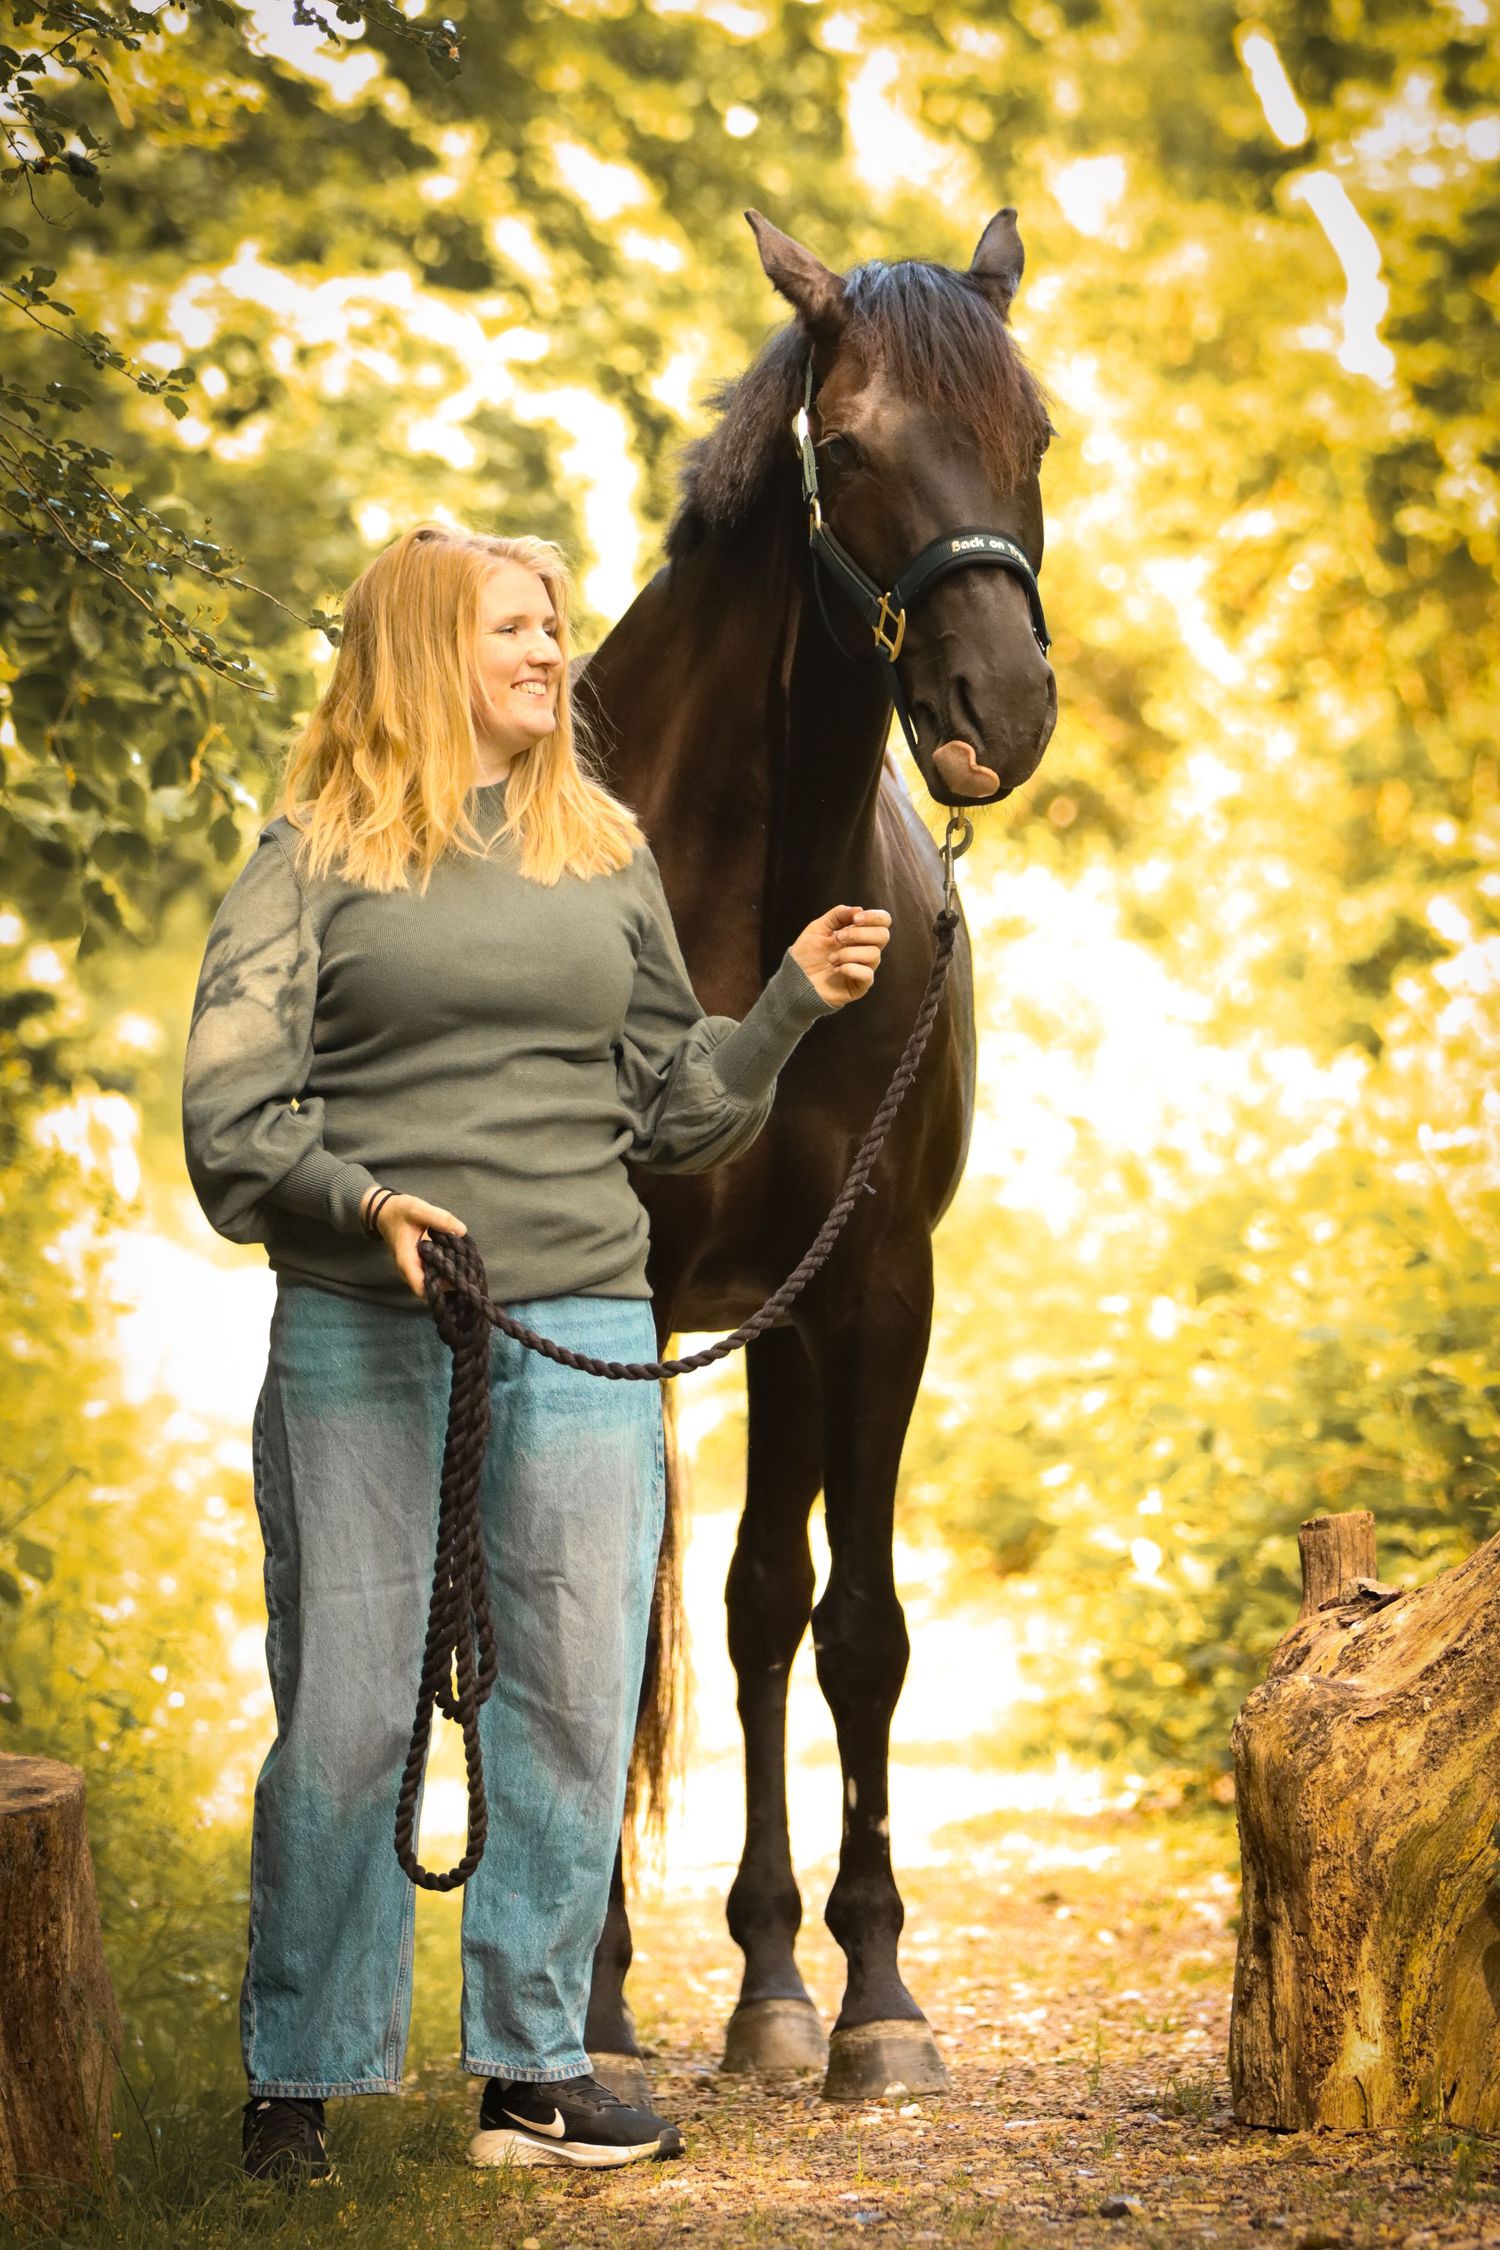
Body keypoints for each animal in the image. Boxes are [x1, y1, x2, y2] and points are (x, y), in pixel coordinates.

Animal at [575, 207, 1056, 2104]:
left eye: (1036, 434)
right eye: (844, 449)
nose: (1003, 701)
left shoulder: (866, 1283)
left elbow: (850, 1625)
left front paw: (868, 2004)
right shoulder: (619, 1293)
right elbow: (600, 1625)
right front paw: (596, 2018)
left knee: (764, 1607)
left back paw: (773, 1982)